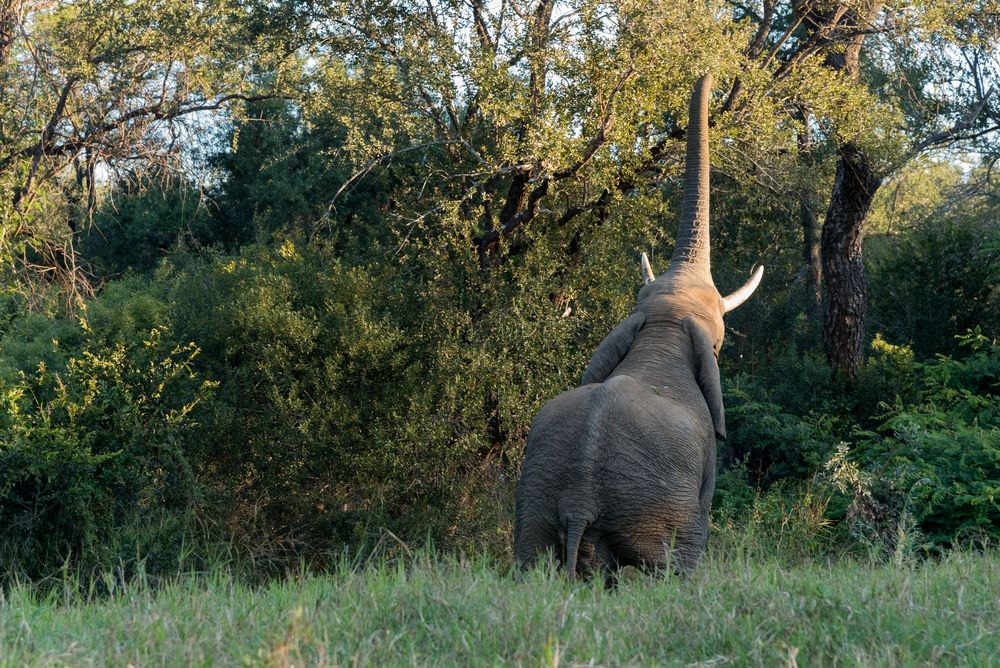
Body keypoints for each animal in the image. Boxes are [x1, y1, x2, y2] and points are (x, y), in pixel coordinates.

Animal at [516, 74, 764, 580]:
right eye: (718, 344)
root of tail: (578, 501)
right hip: (657, 511)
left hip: (538, 496)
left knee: (535, 561)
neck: (662, 332)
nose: (711, 74)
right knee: (672, 564)